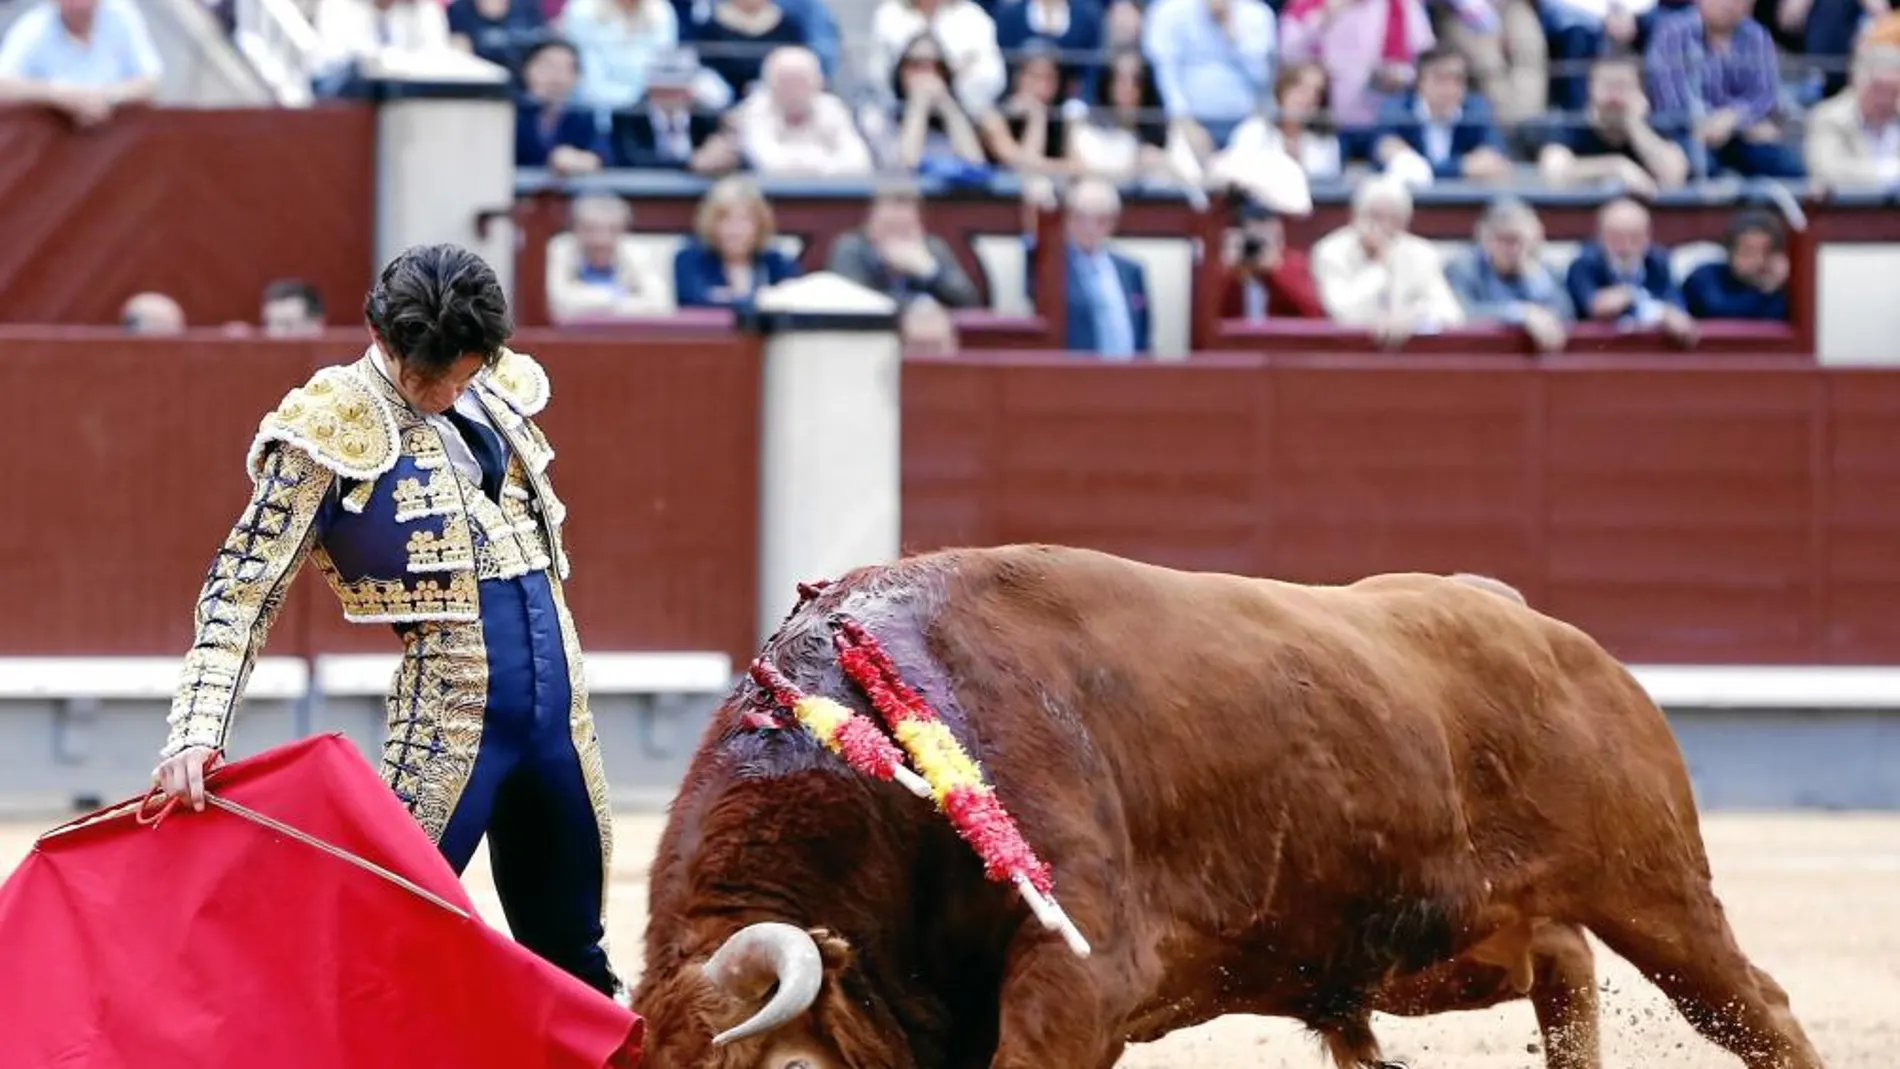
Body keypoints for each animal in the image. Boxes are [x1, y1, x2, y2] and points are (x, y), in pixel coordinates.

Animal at [627, 546, 1824, 1063]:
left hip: (1657, 890)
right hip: (1444, 937)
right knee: (1560, 965)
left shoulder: (1073, 981)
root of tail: (1524, 616)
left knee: (1754, 1008)